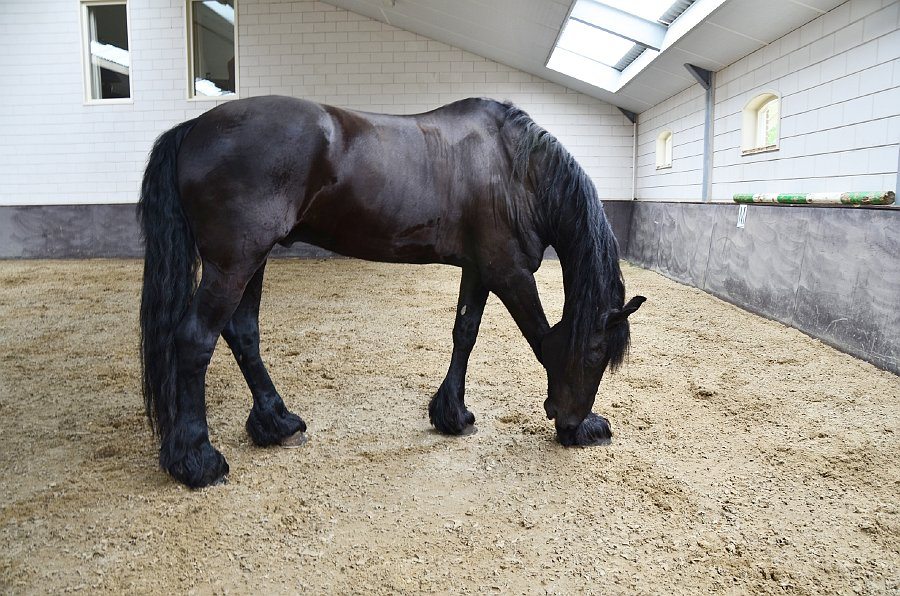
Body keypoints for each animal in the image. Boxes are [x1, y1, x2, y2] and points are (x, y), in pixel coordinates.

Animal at [138, 95, 645, 488]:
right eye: (597, 354)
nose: (571, 422)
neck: (516, 168)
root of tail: (193, 127)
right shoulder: (510, 273)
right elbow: (540, 338)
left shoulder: (479, 271)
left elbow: (465, 333)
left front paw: (451, 414)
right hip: (234, 263)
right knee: (195, 340)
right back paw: (198, 460)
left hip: (251, 260)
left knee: (242, 333)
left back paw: (277, 423)